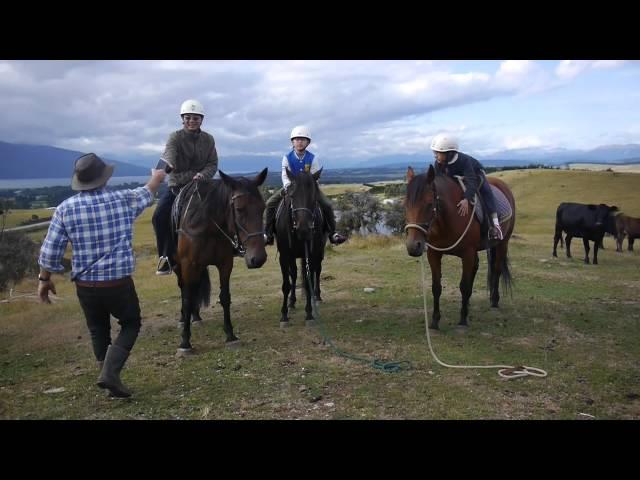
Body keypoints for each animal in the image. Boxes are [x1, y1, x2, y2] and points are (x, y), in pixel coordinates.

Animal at [170, 168, 268, 352]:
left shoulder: (225, 264)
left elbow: (225, 297)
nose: (258, 258)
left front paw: (230, 335)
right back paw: (183, 319)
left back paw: (196, 316)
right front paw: (185, 342)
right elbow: (186, 298)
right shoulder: (188, 265)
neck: (208, 226)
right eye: (239, 209)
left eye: (262, 208)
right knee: (184, 289)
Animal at [276, 168, 328, 326]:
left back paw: (317, 297)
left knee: (317, 271)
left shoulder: (310, 254)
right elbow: (286, 284)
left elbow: (308, 280)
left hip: (319, 253)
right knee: (293, 274)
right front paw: (284, 315)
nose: (303, 229)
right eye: (292, 195)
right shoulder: (284, 256)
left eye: (314, 196)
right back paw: (292, 302)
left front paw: (309, 313)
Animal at [404, 166, 516, 330]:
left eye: (429, 204)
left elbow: (464, 286)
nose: (413, 246)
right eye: (405, 205)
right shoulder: (434, 254)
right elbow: (436, 287)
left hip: (502, 243)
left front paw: (463, 319)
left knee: (496, 269)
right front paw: (435, 321)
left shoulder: (467, 253)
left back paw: (494, 301)